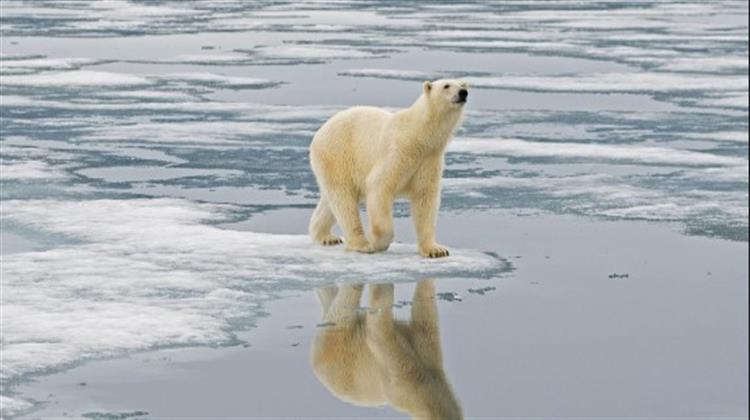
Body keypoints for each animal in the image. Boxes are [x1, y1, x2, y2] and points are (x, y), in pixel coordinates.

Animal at [308, 78, 468, 256]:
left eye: (462, 85)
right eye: (446, 86)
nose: (463, 93)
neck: (419, 135)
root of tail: (318, 134)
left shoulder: (429, 159)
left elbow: (425, 198)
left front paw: (436, 250)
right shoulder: (398, 152)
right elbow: (379, 185)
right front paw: (378, 243)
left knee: (331, 202)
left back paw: (326, 237)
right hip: (337, 155)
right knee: (344, 200)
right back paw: (361, 244)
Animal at [312, 278, 464, 420]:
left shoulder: (426, 354)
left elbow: (423, 312)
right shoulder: (402, 379)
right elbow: (378, 329)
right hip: (337, 346)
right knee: (344, 307)